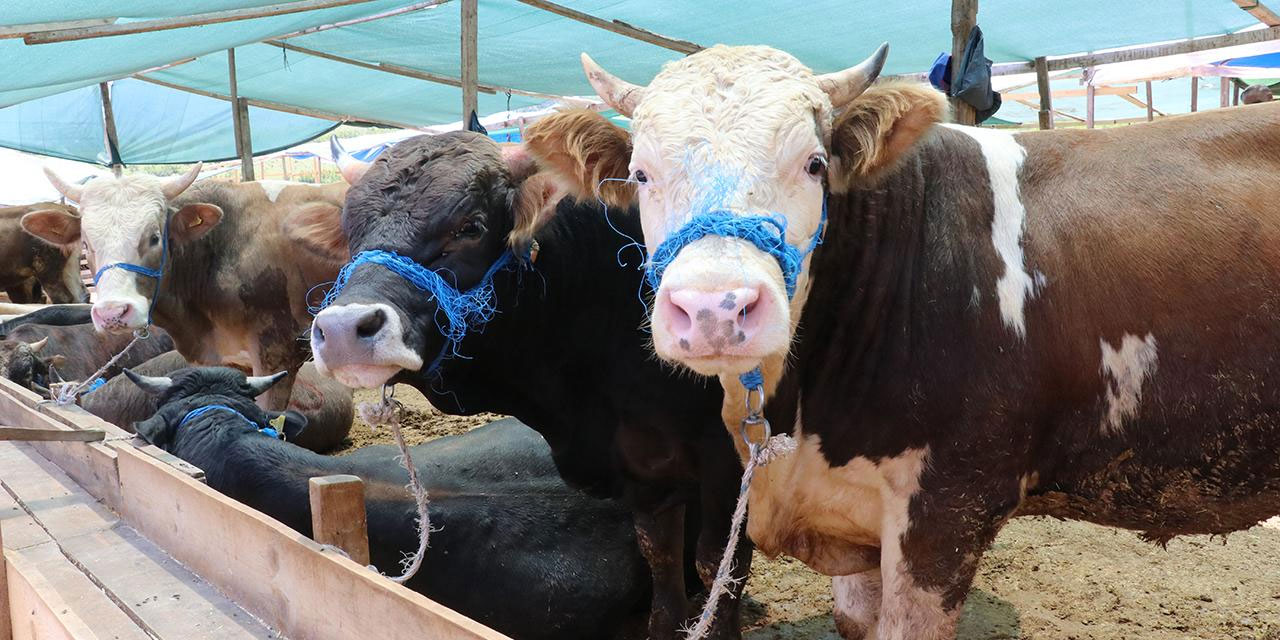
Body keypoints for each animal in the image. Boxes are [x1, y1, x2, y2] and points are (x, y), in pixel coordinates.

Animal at [312, 132, 747, 637]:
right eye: (350, 231)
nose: (343, 330)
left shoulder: (728, 458)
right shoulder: (643, 467)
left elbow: (718, 567)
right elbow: (662, 560)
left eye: (471, 226)